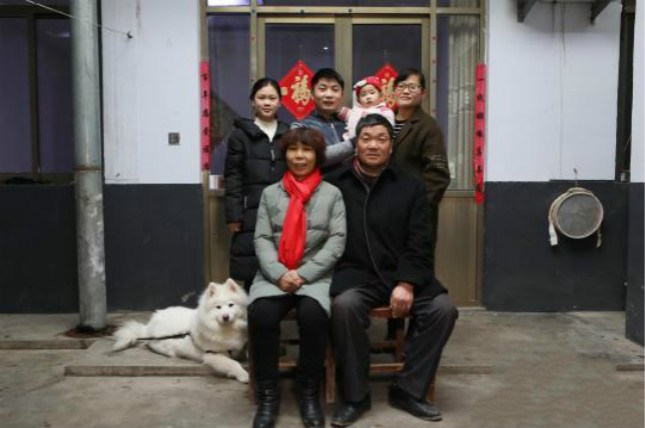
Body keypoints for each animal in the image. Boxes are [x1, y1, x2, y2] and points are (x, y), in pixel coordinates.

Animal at [112, 278, 249, 383]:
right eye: (218, 307)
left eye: (231, 305)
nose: (225, 317)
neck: (227, 328)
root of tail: (148, 327)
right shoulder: (212, 355)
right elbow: (233, 363)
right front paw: (244, 375)